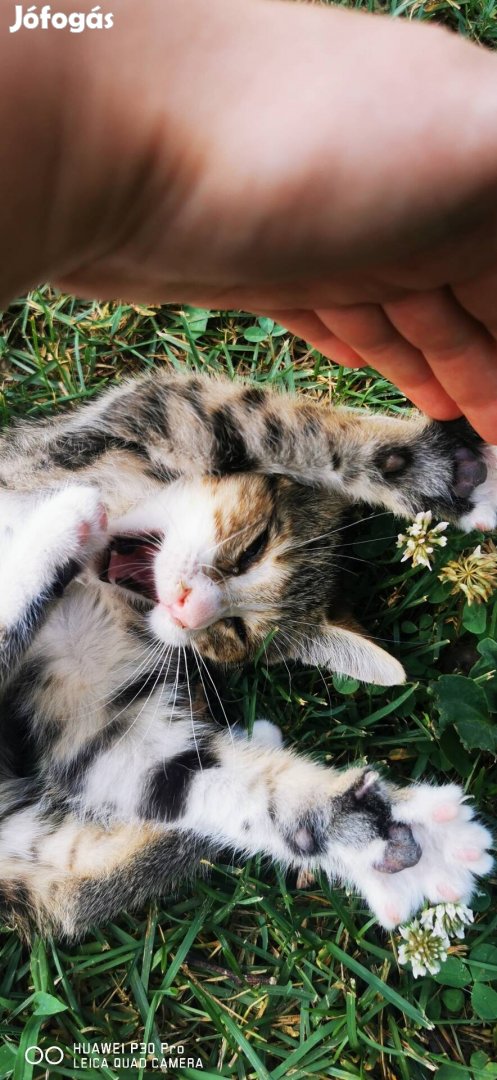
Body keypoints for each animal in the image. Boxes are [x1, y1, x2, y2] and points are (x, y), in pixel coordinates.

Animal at [0, 369, 492, 937]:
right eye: (252, 549)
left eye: (234, 633)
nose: (189, 613)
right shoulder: (125, 422)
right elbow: (266, 425)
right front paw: (438, 468)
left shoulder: (100, 718)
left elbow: (173, 774)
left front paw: (365, 834)